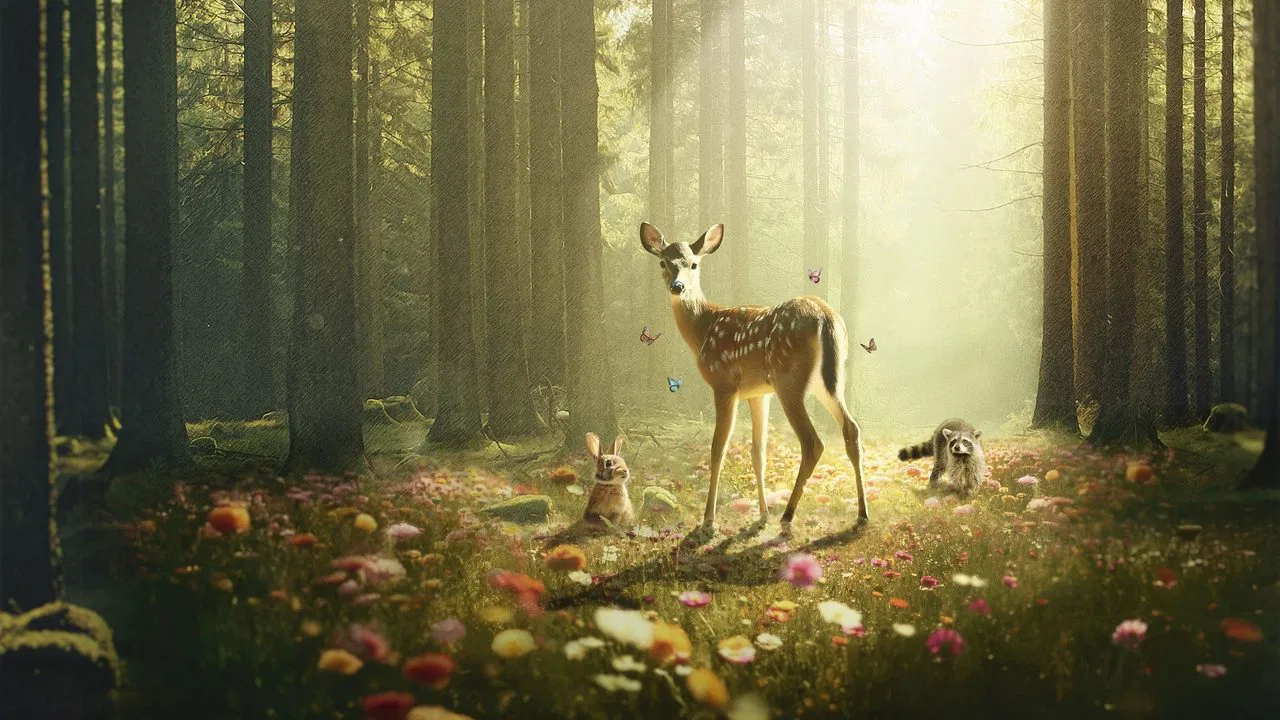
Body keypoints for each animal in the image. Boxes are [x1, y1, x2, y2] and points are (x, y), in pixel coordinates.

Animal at [640, 222, 869, 537]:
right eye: (664, 262)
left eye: (694, 264)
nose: (678, 287)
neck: (703, 329)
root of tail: (824, 316)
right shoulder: (759, 393)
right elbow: (758, 452)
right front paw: (761, 516)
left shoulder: (724, 384)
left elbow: (718, 449)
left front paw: (708, 520)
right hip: (830, 380)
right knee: (852, 428)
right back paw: (861, 515)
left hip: (789, 379)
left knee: (812, 442)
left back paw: (788, 516)